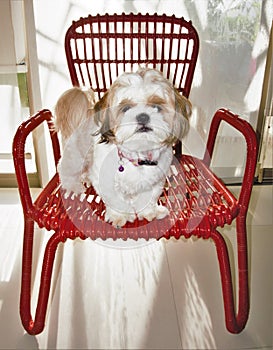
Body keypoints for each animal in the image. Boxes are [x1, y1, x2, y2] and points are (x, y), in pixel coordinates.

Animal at [55, 67, 191, 228]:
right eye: (126, 108)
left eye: (156, 107)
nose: (143, 116)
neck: (137, 156)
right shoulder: (105, 181)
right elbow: (114, 200)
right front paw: (120, 216)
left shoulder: (156, 180)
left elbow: (149, 197)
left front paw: (149, 212)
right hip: (76, 156)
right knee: (65, 169)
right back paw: (74, 186)